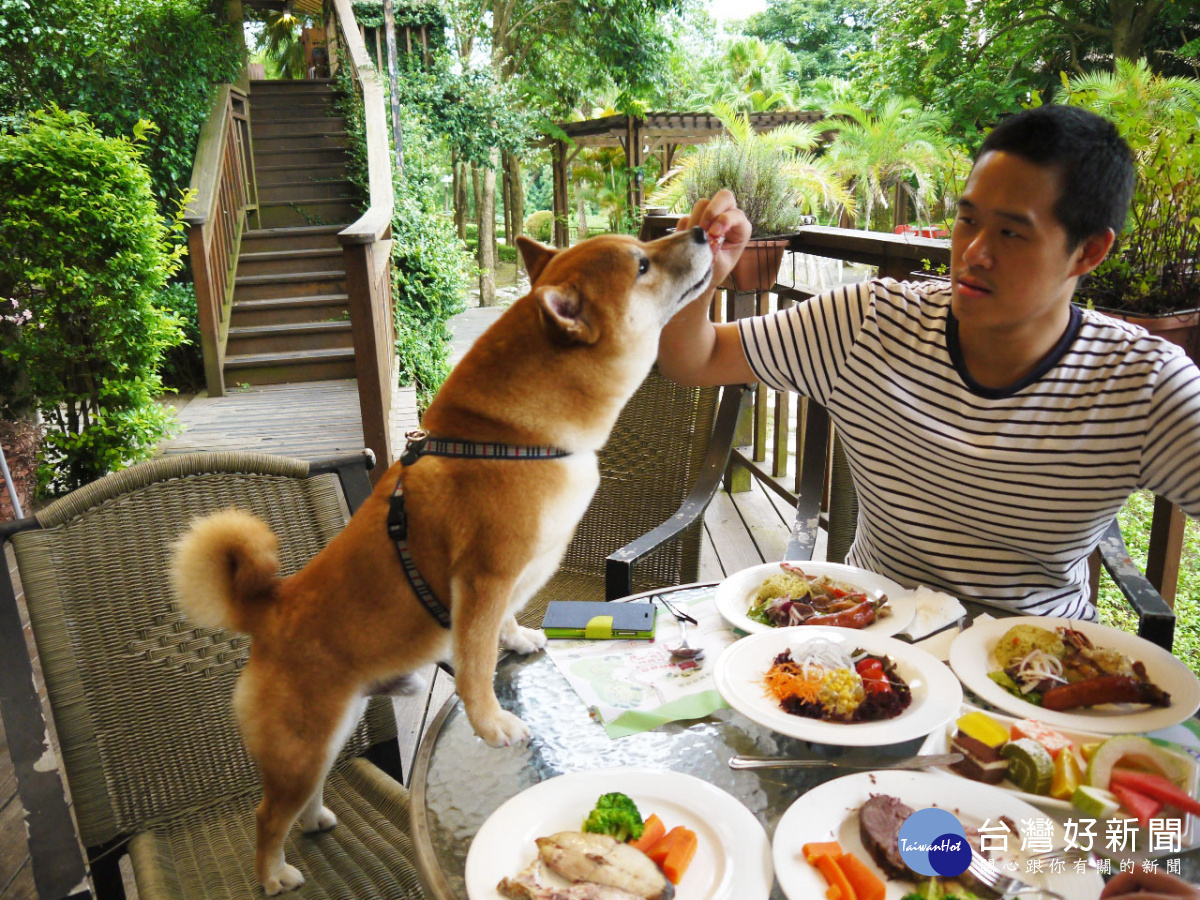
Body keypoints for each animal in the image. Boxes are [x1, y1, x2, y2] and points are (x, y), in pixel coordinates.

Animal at [168, 226, 710, 897]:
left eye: (645, 246)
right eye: (641, 264)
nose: (703, 230)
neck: (510, 439)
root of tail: (269, 607)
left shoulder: (504, 586)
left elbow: (505, 626)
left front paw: (520, 638)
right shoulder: (482, 580)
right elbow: (475, 666)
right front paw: (493, 725)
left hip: (331, 732)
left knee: (304, 795)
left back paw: (316, 818)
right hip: (300, 746)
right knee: (268, 816)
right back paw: (272, 874)